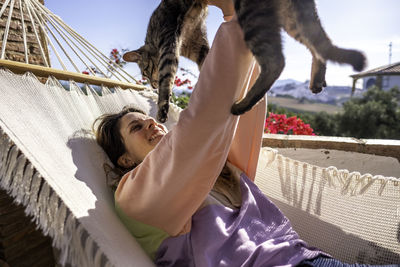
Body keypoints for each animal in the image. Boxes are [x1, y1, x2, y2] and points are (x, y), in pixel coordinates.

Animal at [124, 0, 366, 122]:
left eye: (145, 72)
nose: (151, 84)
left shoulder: (170, 39)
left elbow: (167, 76)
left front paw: (162, 108)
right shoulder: (196, 45)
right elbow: (206, 64)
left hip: (252, 14)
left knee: (277, 61)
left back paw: (242, 105)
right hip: (290, 17)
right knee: (317, 44)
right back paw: (316, 80)